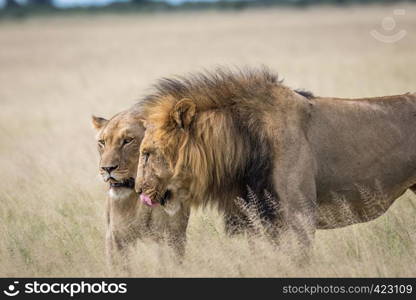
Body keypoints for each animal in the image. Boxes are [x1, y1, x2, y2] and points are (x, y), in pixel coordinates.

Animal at [92, 106, 190, 270]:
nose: (107, 168)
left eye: (127, 141)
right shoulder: (119, 236)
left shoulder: (174, 235)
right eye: (102, 142)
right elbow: (123, 268)